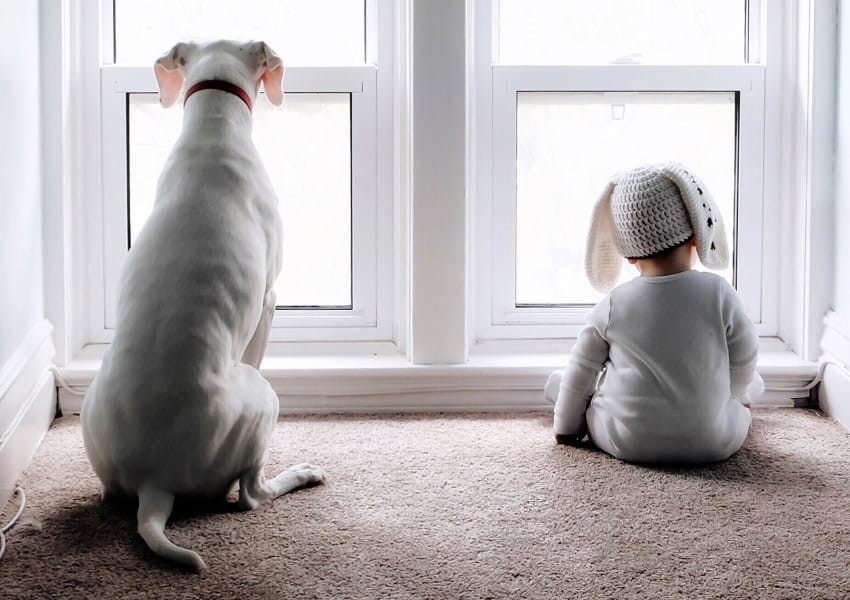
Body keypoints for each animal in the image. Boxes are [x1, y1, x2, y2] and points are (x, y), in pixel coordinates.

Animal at [81, 39, 324, 568]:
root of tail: (154, 483)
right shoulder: (269, 301)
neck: (215, 124)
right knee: (252, 494)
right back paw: (300, 473)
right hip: (262, 399)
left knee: (110, 494)